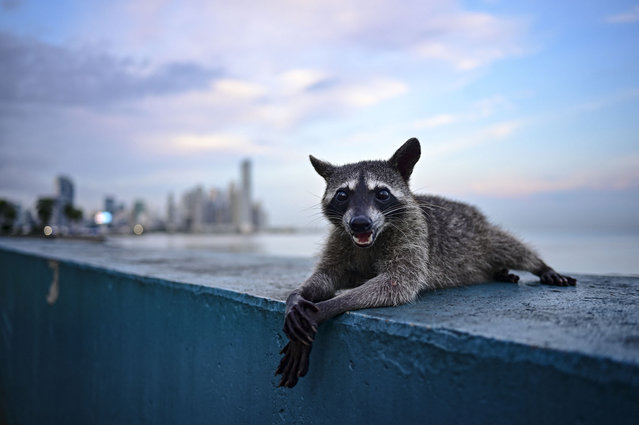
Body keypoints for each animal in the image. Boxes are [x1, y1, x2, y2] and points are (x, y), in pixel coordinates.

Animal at [278, 138, 576, 388]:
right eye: (343, 195)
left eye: (382, 194)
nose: (360, 223)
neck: (372, 238)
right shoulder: (341, 238)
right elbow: (327, 276)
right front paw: (296, 298)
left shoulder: (413, 237)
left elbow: (396, 284)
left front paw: (321, 310)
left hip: (482, 235)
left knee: (509, 245)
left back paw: (540, 266)